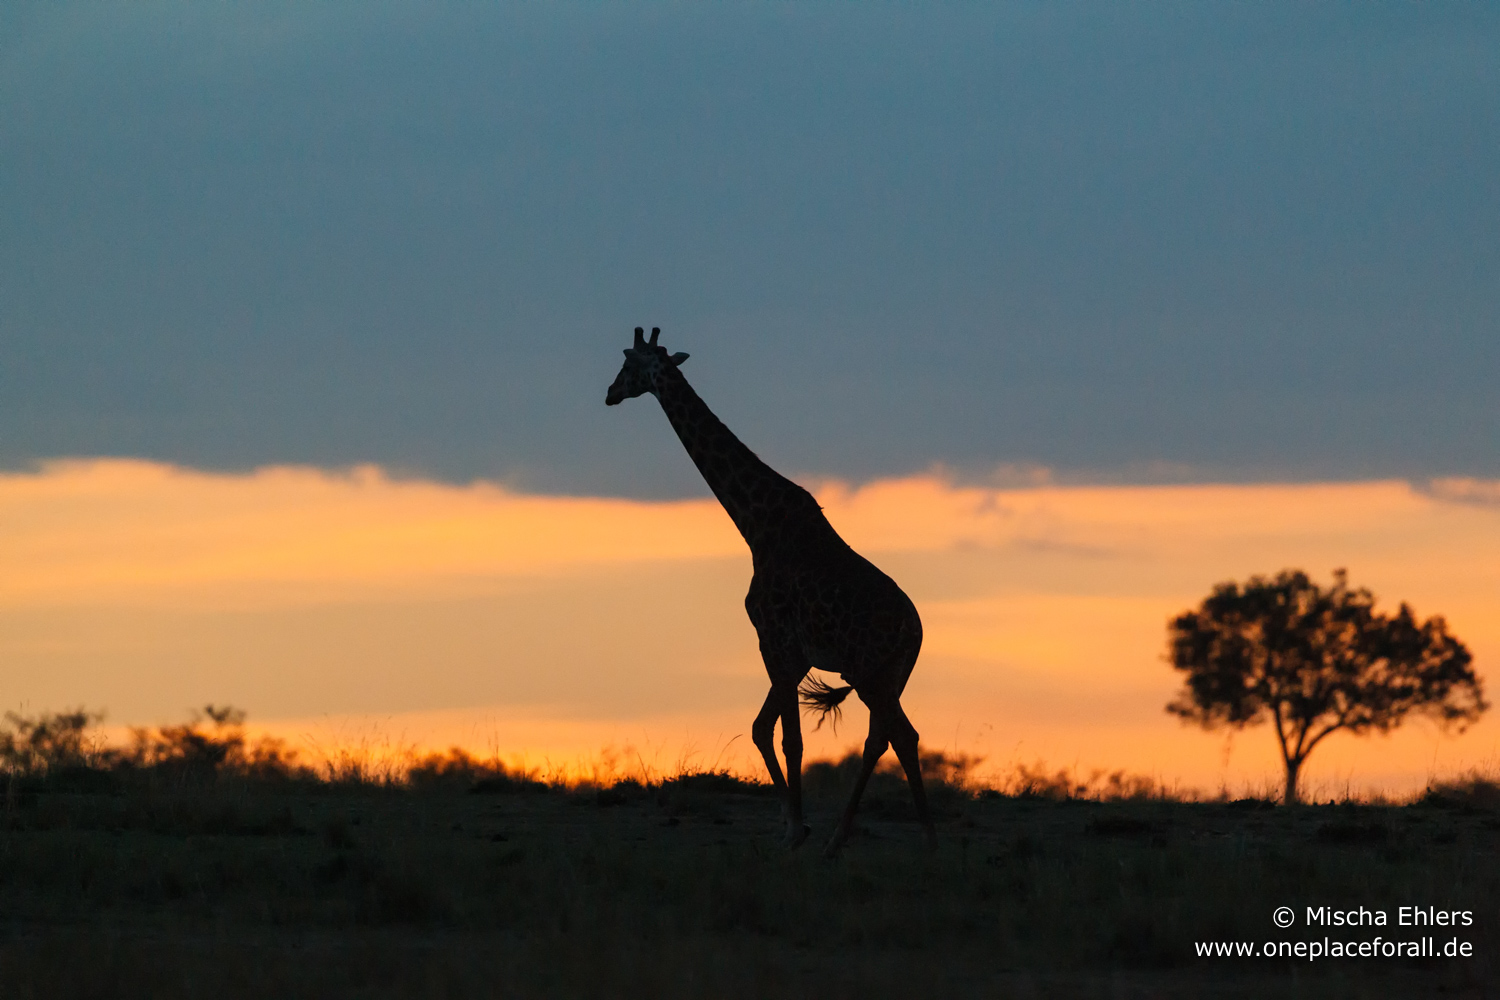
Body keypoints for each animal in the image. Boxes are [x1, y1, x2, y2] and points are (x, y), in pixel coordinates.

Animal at [603, 326, 930, 851]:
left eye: (629, 363)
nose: (610, 393)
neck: (756, 525)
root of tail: (915, 630)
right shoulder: (792, 653)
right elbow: (762, 728)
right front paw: (794, 823)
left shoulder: (774, 638)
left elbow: (787, 737)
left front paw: (796, 828)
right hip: (889, 674)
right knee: (888, 737)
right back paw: (861, 840)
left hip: (868, 672)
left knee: (897, 736)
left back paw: (907, 839)